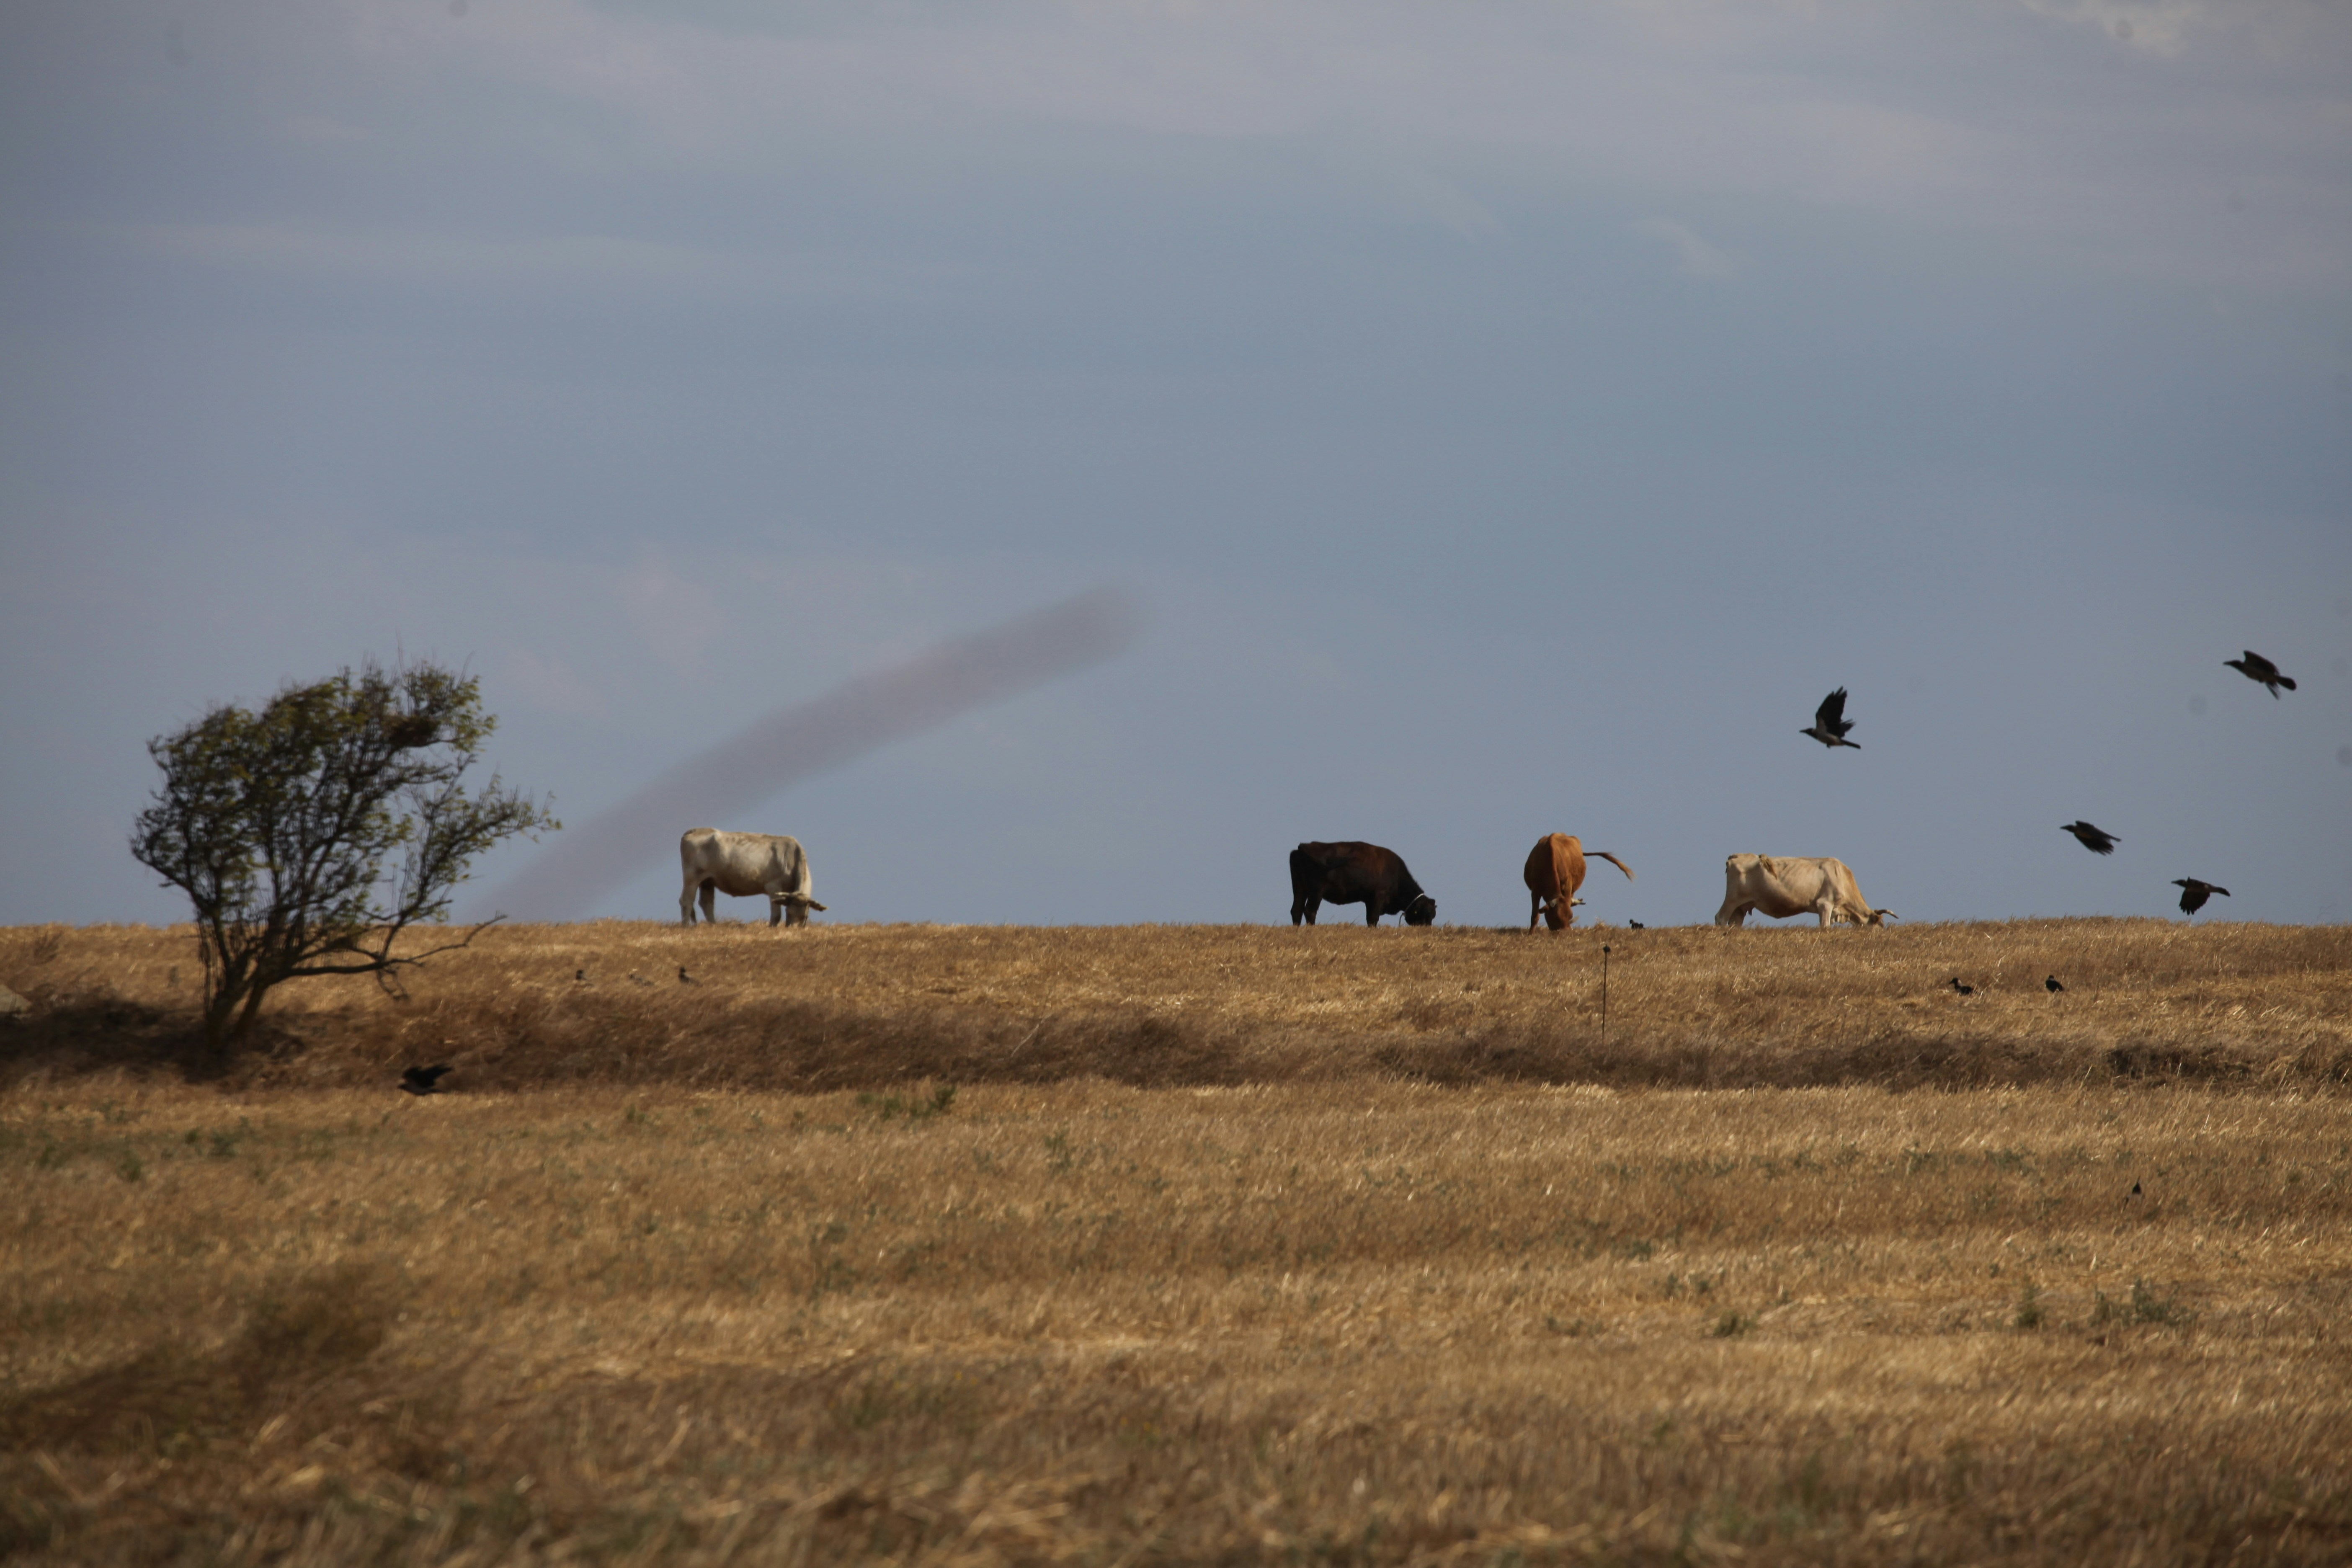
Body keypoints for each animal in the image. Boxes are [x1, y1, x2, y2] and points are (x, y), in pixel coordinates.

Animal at [679, 828, 828, 927]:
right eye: (789, 912)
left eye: (805, 917)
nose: (792, 930)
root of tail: (695, 830)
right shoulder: (773, 887)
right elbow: (776, 915)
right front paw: (772, 929)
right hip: (692, 877)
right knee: (686, 900)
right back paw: (686, 927)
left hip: (708, 881)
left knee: (706, 903)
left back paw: (714, 926)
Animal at [1289, 841, 1436, 927]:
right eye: (1427, 914)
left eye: (1433, 915)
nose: (1428, 929)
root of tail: (1305, 846)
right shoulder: (1379, 896)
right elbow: (1374, 918)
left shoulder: (1369, 900)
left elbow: (1369, 918)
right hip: (1317, 892)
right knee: (1310, 911)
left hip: (1300, 890)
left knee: (1297, 910)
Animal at [1522, 833, 1635, 931]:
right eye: (1556, 918)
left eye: (1570, 916)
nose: (1566, 933)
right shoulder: (1535, 891)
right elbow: (1535, 915)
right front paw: (1531, 934)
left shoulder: (1568, 887)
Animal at [1713, 853, 1894, 929]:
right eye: (1878, 926)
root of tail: (1737, 855)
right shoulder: (1825, 904)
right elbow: (1825, 926)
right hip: (1732, 899)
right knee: (1720, 918)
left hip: (1742, 906)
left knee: (1735, 923)